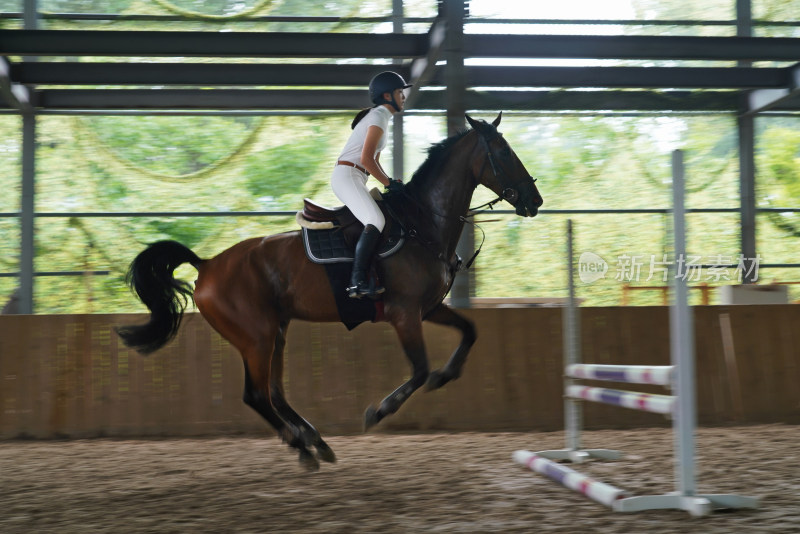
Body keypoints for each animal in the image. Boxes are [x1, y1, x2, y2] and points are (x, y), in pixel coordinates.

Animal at [117, 112, 544, 468]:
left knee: (274, 392)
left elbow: (469, 331)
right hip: (256, 337)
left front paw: (446, 376)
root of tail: (207, 265)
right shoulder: (404, 315)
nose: (534, 200)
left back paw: (314, 440)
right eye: (503, 152)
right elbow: (420, 369)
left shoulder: (428, 308)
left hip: (275, 332)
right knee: (257, 395)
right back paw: (303, 446)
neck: (422, 223)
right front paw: (379, 410)